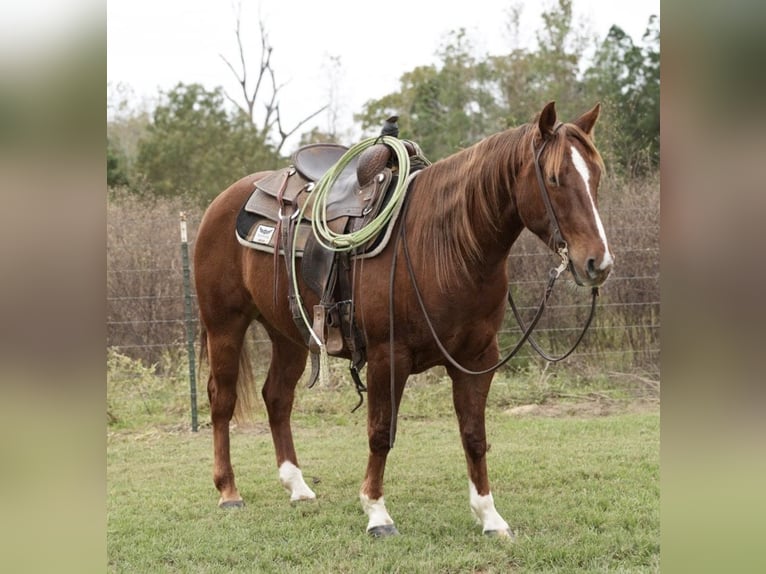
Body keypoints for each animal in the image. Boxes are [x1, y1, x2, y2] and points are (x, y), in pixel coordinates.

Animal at [195, 103, 616, 540]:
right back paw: (228, 491)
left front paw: (489, 517)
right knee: (222, 400)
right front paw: (377, 513)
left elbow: (474, 436)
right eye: (554, 178)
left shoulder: (477, 359)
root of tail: (225, 200)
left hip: (289, 334)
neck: (444, 245)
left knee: (277, 397)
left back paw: (297, 486)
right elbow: (381, 433)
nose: (597, 263)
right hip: (224, 325)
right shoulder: (387, 356)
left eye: (596, 176)